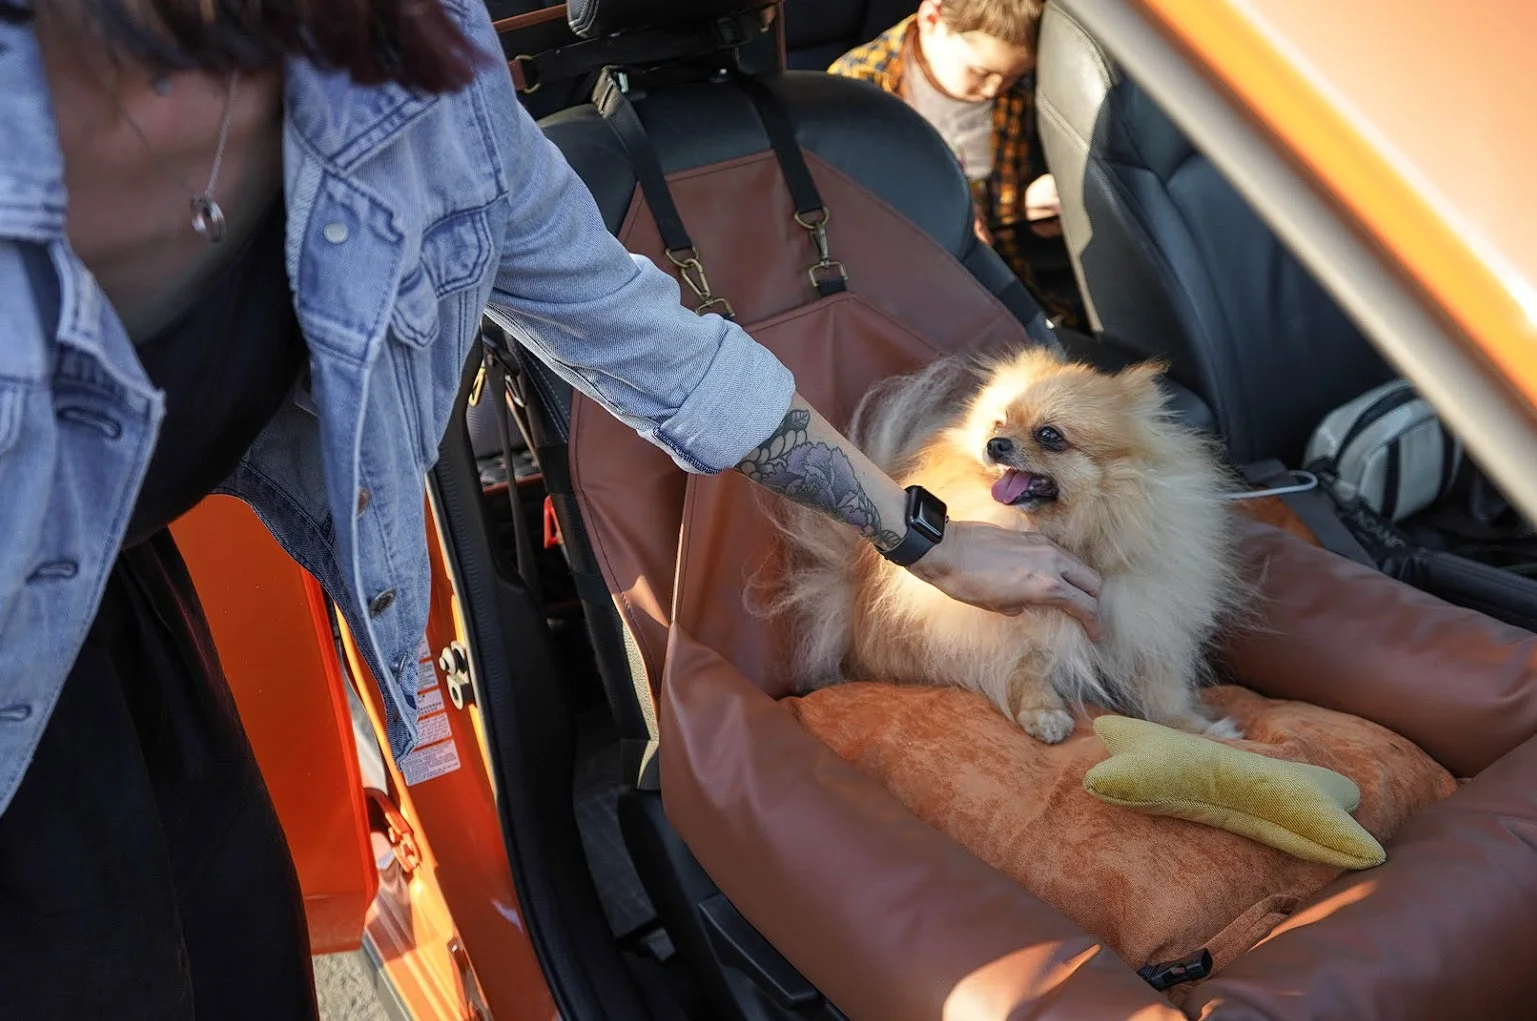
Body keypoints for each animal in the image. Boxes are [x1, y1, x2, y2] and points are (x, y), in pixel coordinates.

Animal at [768, 347, 1248, 747]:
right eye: (998, 424)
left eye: (1050, 435)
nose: (995, 443)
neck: (1069, 532)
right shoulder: (1007, 620)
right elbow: (1025, 665)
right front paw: (1044, 714)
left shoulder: (1144, 617)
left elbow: (1162, 687)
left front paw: (1197, 728)